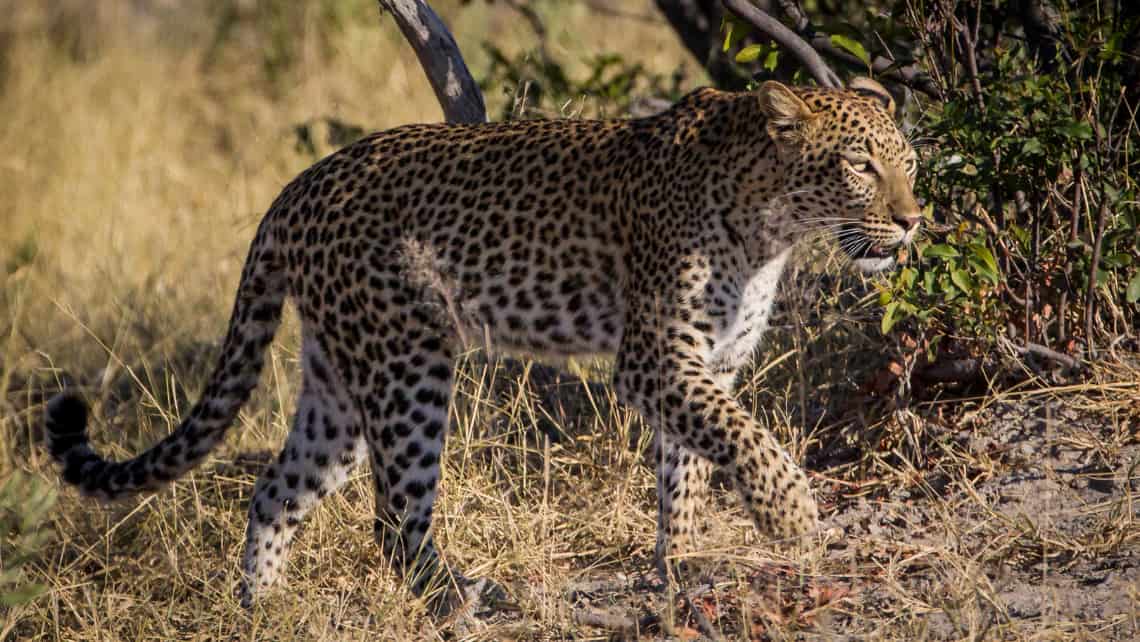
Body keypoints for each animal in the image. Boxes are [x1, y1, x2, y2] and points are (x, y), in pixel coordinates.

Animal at [44, 76, 921, 615]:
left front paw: (682, 562)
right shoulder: (657, 358)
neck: (771, 226)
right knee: (393, 521)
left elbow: (692, 468)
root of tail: (297, 186)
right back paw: (457, 600)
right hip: (406, 366)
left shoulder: (710, 363)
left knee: (278, 488)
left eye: (908, 162)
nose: (914, 220)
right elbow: (745, 439)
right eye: (859, 164)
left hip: (337, 379)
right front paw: (792, 516)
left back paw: (263, 609)